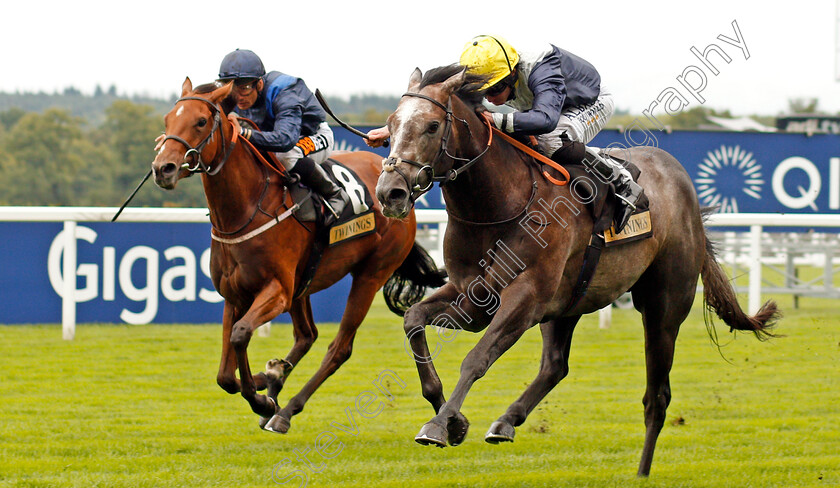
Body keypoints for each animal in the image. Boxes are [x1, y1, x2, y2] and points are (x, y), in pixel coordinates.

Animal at [151, 78, 446, 432]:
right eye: (168, 119)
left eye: (200, 121)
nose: (163, 168)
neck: (247, 209)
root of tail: (401, 190)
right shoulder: (235, 295)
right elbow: (225, 374)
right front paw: (268, 380)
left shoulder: (277, 290)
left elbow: (240, 335)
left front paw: (262, 399)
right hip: (304, 284)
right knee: (307, 335)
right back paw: (277, 379)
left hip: (370, 275)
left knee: (338, 348)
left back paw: (285, 409)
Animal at [376, 66, 780, 476]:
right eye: (391, 125)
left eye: (431, 126)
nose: (390, 192)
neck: (500, 203)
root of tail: (686, 192)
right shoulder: (471, 297)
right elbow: (413, 321)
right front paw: (452, 419)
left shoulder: (526, 297)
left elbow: (476, 358)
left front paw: (439, 425)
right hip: (567, 304)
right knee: (555, 365)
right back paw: (506, 421)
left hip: (663, 306)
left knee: (657, 396)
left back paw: (641, 473)